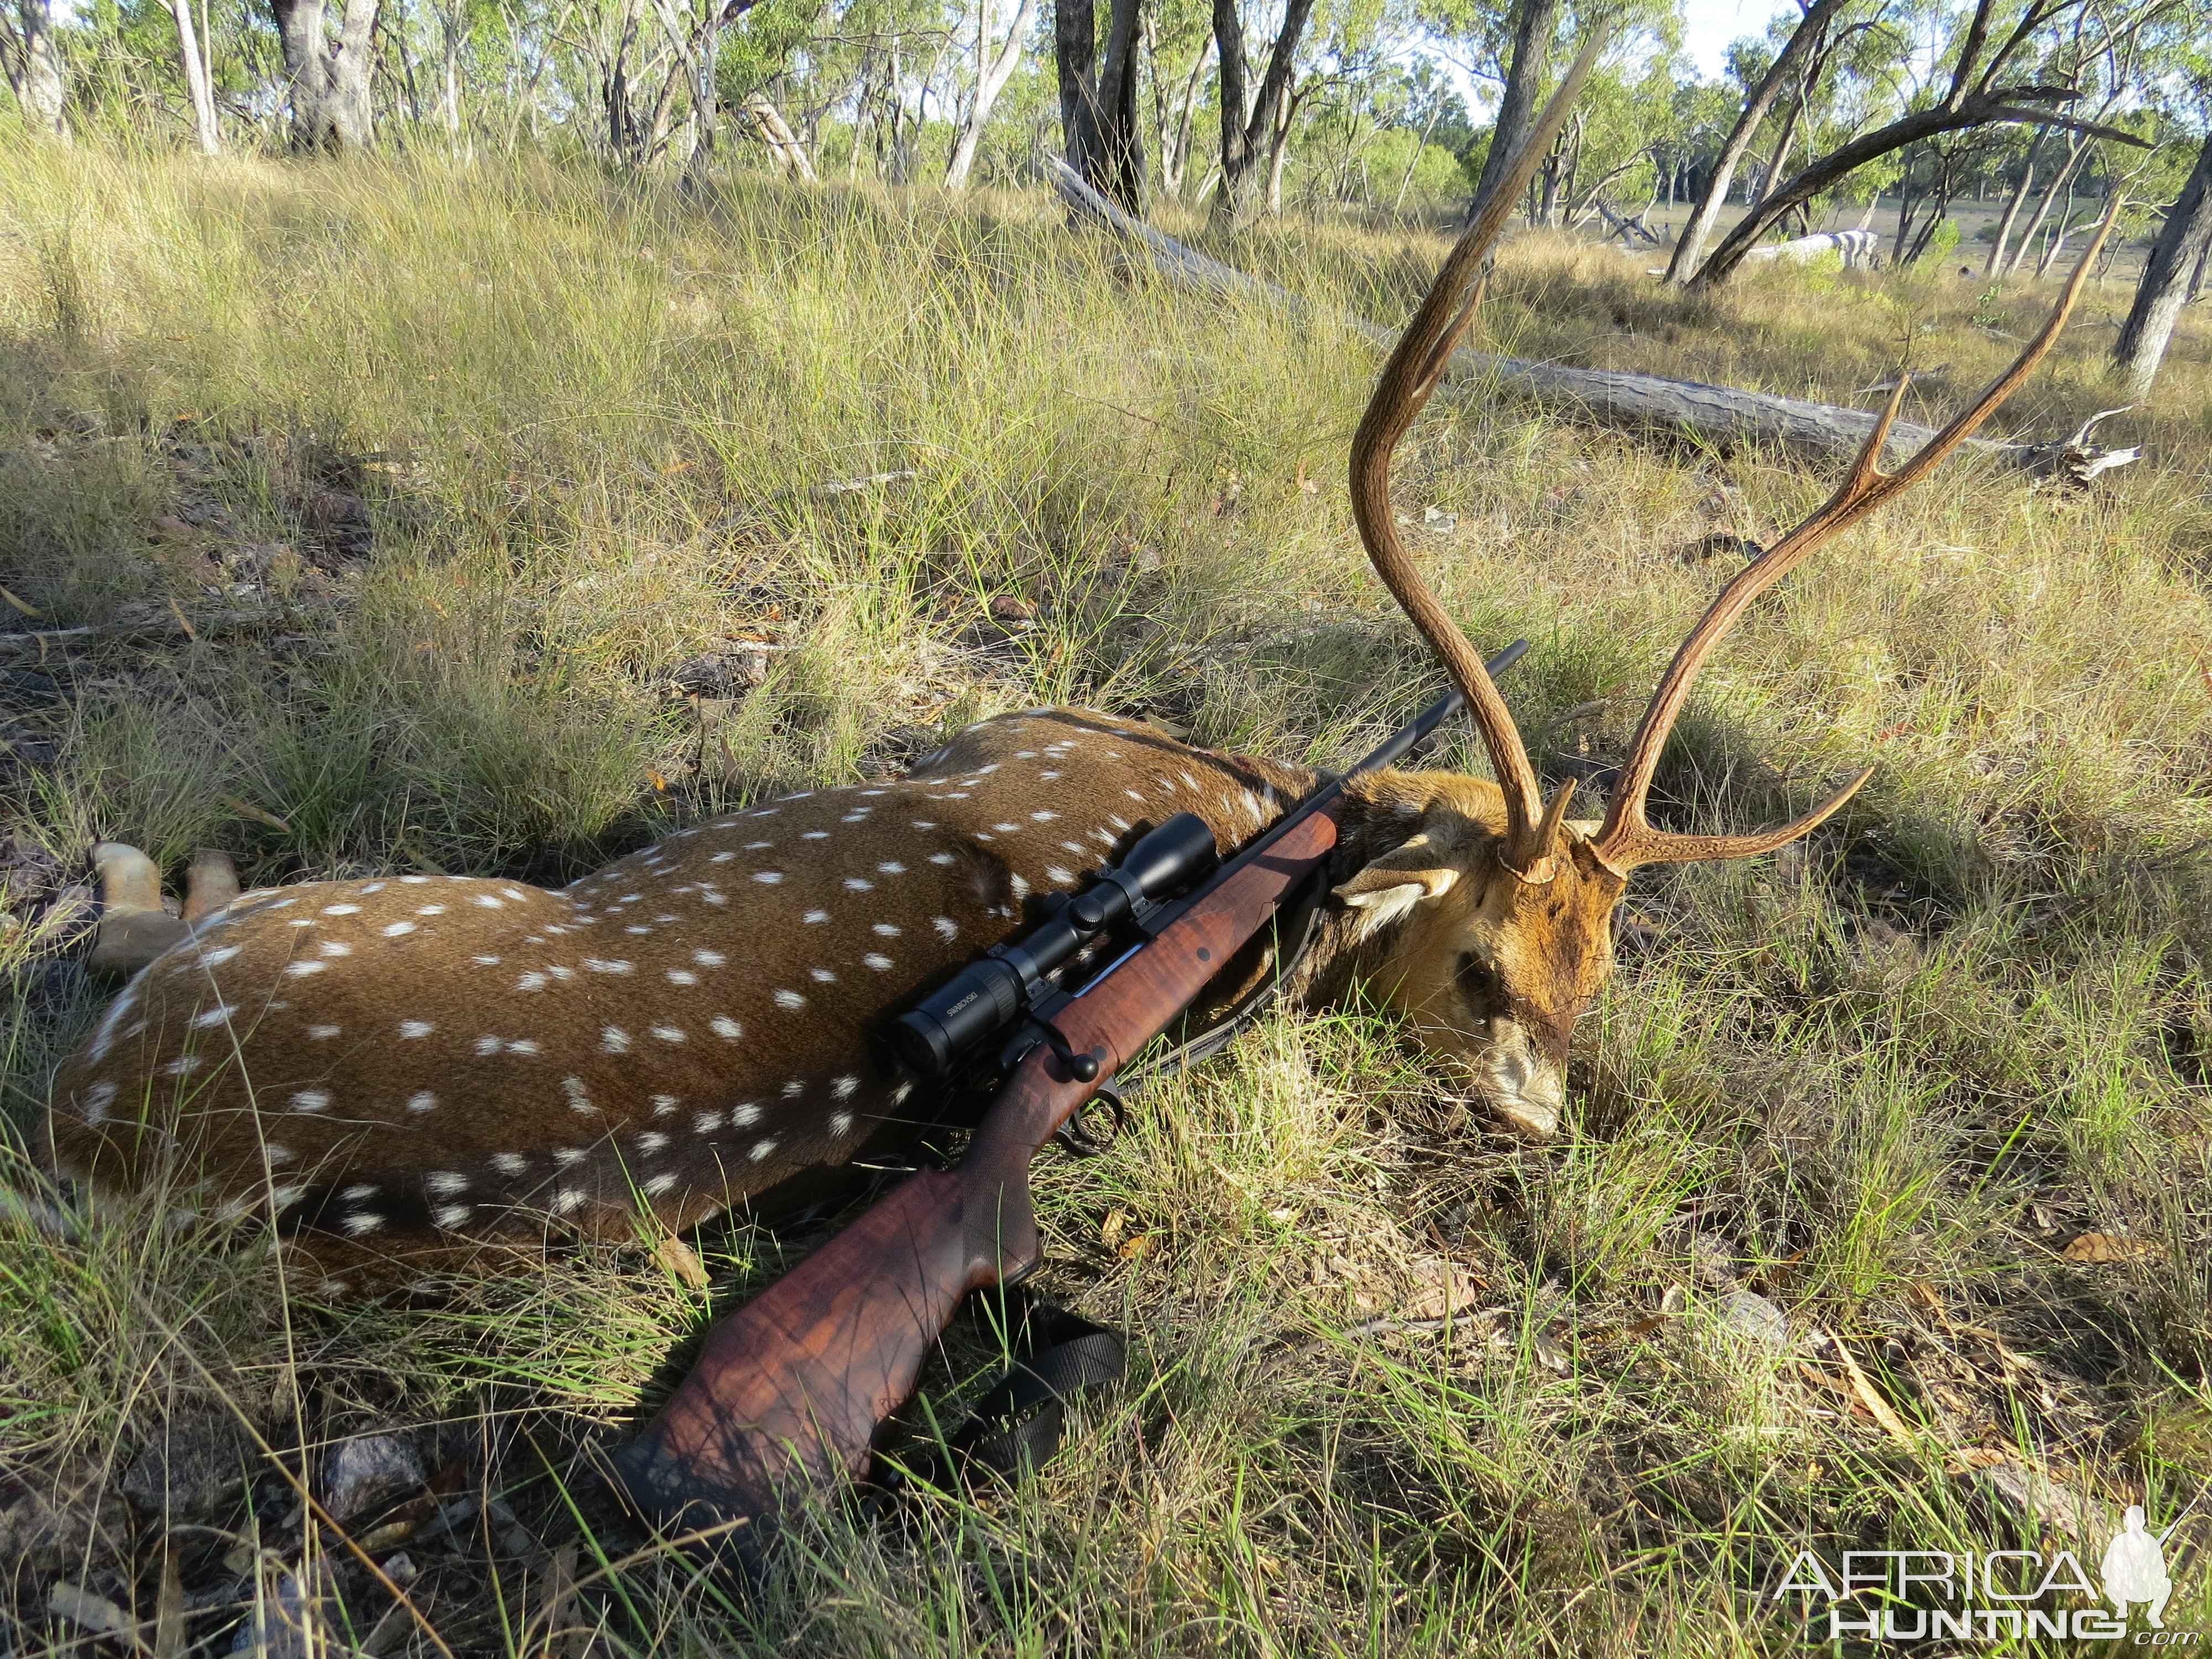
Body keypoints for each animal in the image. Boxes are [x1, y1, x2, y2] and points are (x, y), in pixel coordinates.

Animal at [43, 75, 2097, 1301]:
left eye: (1600, 976)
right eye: (1502, 969)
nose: (1537, 1115)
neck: (1249, 793)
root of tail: (113, 1145)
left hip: (296, 927)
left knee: (134, 925)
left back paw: (128, 876)